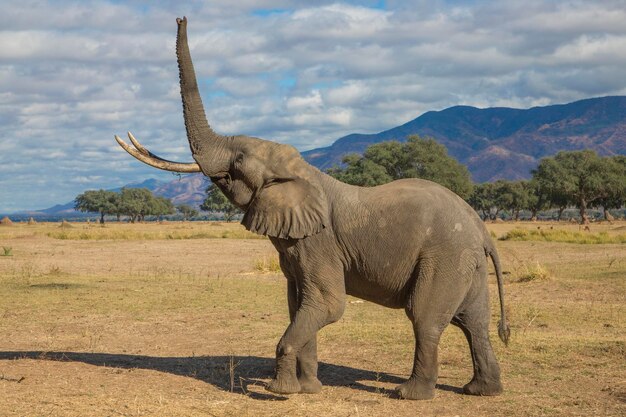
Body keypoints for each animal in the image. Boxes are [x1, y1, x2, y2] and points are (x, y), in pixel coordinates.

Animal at [116, 17, 508, 400]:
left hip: (445, 256)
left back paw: (410, 394)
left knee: (426, 318)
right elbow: (299, 305)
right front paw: (308, 389)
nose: (181, 17)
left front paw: (279, 391)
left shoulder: (319, 243)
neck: (301, 172)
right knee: (474, 321)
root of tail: (481, 229)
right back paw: (481, 391)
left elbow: (326, 304)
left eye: (239, 160)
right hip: (465, 262)